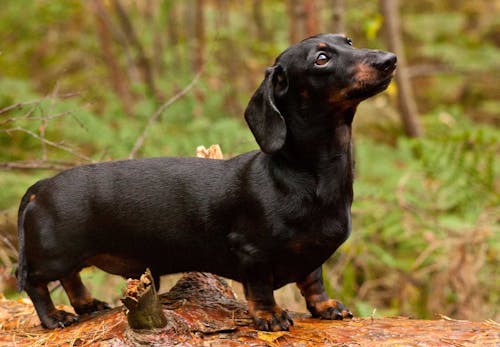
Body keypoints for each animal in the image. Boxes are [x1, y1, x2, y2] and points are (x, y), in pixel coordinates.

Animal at [17, 34, 396, 332]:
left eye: (348, 41)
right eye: (321, 59)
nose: (389, 60)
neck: (305, 174)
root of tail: (41, 186)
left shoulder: (312, 253)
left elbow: (313, 278)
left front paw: (326, 306)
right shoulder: (252, 252)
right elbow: (261, 288)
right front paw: (270, 315)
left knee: (71, 278)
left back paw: (87, 304)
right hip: (53, 254)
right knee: (35, 283)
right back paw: (54, 318)